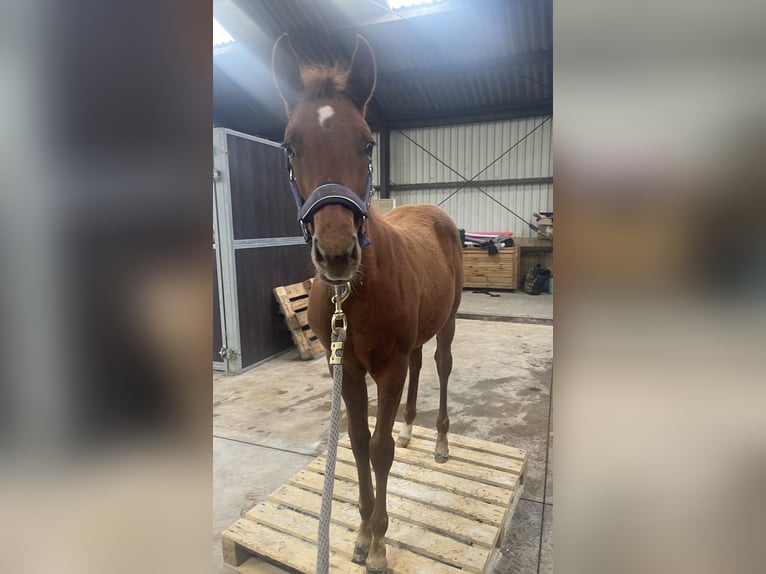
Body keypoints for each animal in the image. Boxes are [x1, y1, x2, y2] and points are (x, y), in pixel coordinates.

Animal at [272, 33, 464, 572]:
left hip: (448, 321)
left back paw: (439, 441)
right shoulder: (348, 368)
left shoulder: (387, 367)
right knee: (420, 364)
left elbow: (379, 451)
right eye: (290, 145)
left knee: (440, 365)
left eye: (367, 142)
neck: (351, 295)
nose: (337, 254)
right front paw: (359, 533)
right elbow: (357, 444)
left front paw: (378, 543)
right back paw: (410, 428)